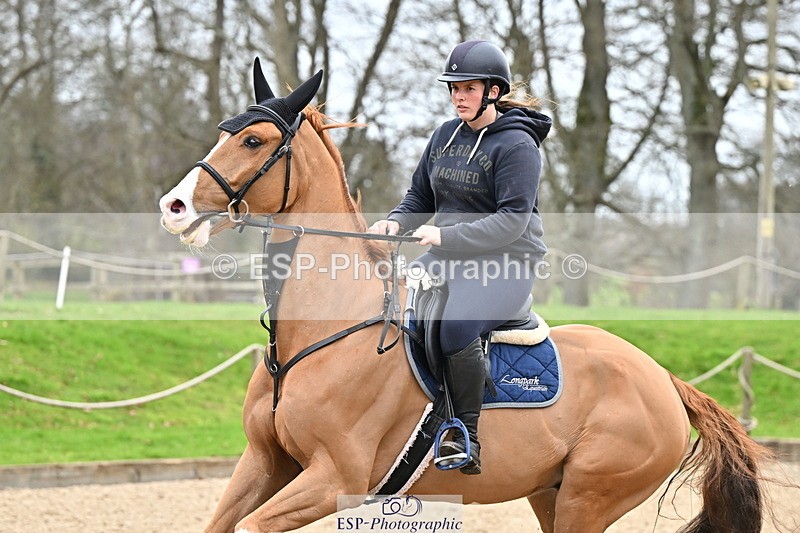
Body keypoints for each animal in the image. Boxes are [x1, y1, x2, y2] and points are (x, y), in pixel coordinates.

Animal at [159, 62, 774, 533]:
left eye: (253, 141)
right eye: (225, 132)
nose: (173, 207)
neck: (320, 334)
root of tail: (663, 378)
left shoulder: (333, 477)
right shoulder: (264, 463)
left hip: (588, 499)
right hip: (550, 494)